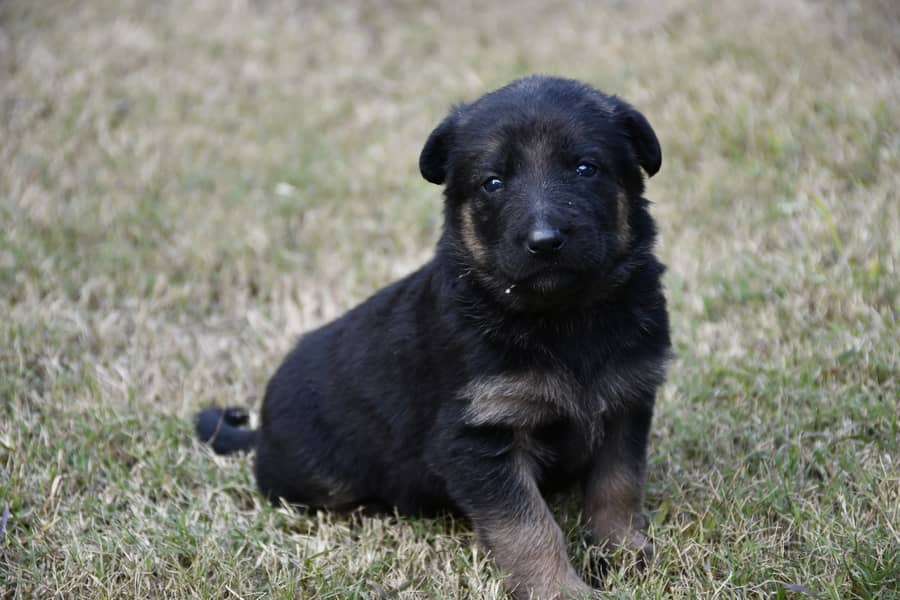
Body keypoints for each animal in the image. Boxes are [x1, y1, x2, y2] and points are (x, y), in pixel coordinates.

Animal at [195, 76, 668, 600]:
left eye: (586, 168)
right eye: (493, 182)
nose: (544, 242)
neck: (562, 318)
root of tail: (260, 431)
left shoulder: (627, 403)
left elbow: (618, 486)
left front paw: (624, 552)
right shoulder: (476, 438)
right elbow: (528, 526)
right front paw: (559, 590)